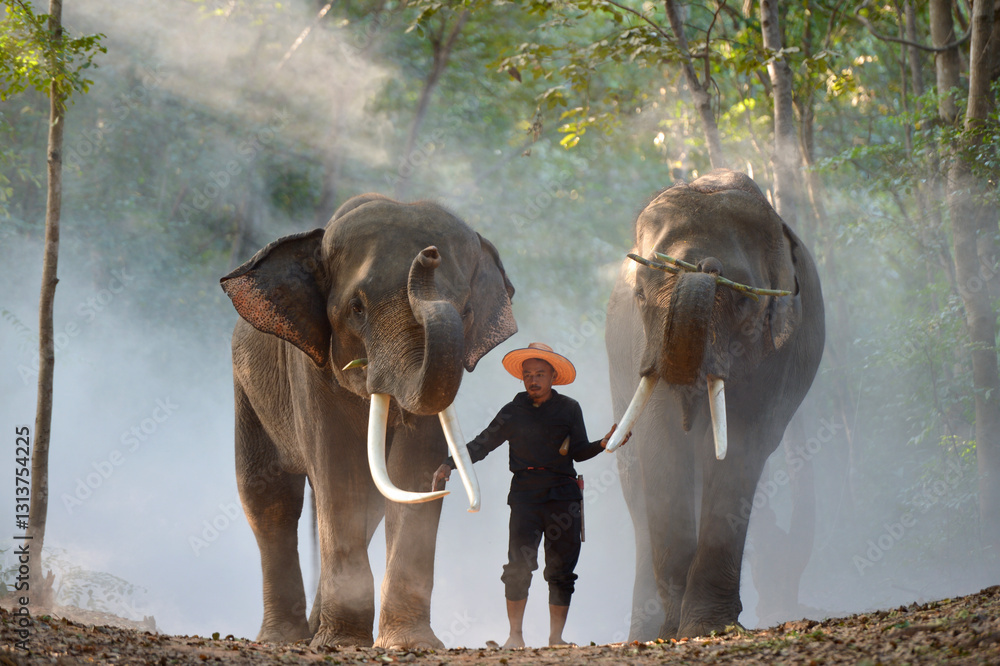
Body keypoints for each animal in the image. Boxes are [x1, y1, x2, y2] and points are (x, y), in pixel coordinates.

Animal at [219, 193, 517, 649]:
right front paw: (341, 643)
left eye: (466, 312)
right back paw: (283, 639)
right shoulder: (310, 370)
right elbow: (339, 472)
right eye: (356, 309)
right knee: (268, 496)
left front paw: (409, 644)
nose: (428, 255)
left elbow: (410, 471)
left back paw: (311, 632)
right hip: (247, 388)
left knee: (371, 503)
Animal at [604, 169, 825, 639]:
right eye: (640, 296)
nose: (705, 266)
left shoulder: (773, 353)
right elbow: (662, 447)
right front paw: (674, 628)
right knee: (636, 489)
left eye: (743, 298)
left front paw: (706, 628)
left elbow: (738, 449)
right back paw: (647, 631)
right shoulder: (643, 347)